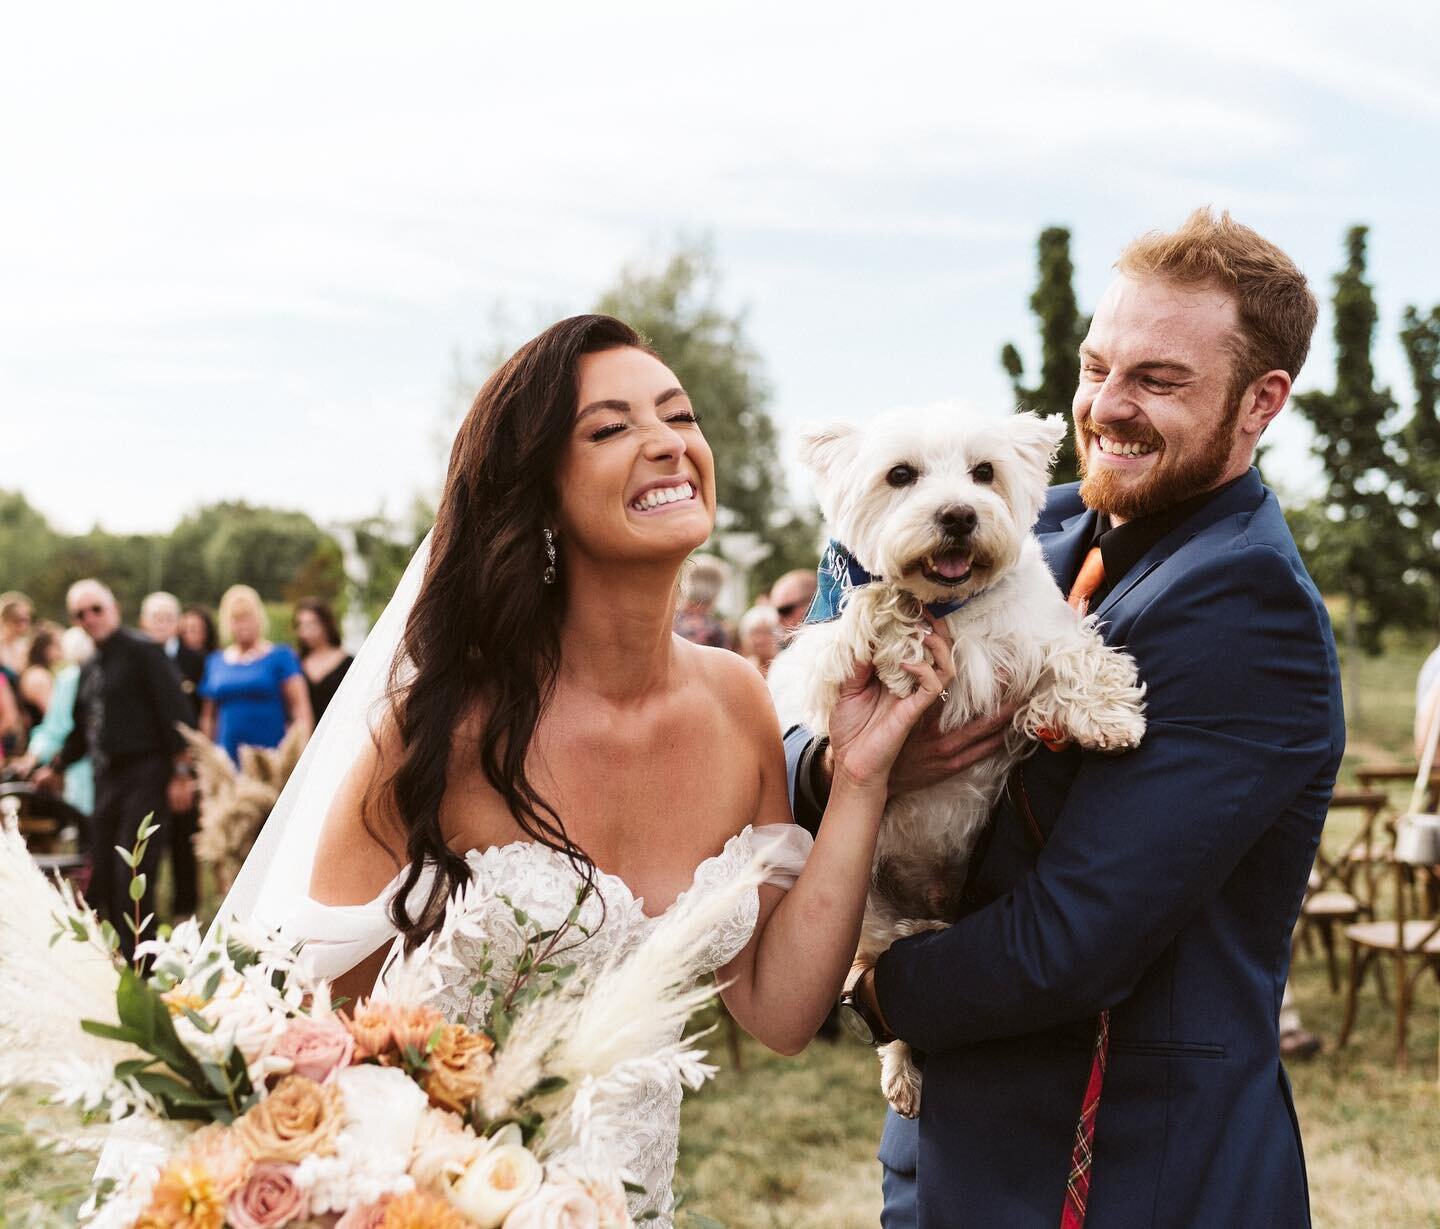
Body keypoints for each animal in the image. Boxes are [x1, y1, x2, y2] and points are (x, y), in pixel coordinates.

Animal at [766, 406, 1146, 1118]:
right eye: (900, 475)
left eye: (984, 472)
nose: (960, 516)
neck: (951, 605)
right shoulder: (814, 660)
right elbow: (871, 609)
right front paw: (899, 635)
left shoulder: (1033, 638)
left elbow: (1077, 656)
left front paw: (1111, 716)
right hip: (865, 912)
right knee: (882, 985)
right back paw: (904, 1073)